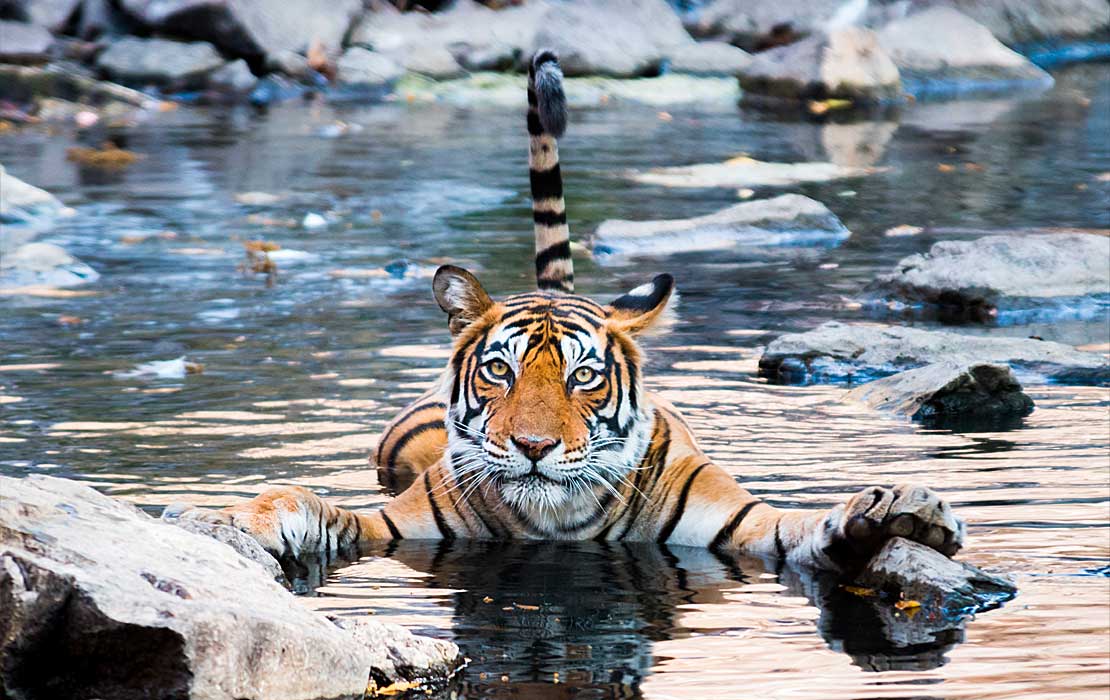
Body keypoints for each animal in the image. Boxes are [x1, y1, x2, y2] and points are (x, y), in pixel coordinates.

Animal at [179, 49, 963, 576]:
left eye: (584, 378)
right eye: (499, 371)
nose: (533, 448)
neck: (557, 521)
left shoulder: (745, 527)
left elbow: (811, 524)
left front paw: (901, 512)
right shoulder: (395, 527)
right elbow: (309, 502)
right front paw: (221, 515)